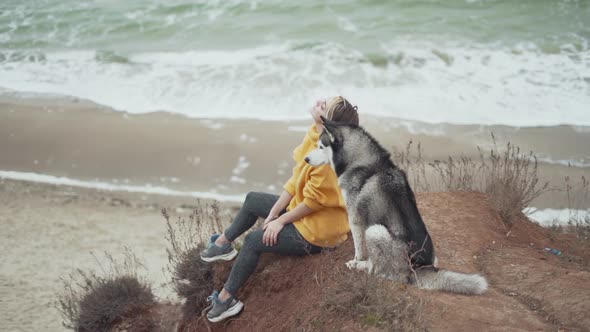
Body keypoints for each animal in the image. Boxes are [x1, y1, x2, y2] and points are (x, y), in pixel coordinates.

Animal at [306, 117, 490, 296]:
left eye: (321, 146)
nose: (306, 159)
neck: (365, 163)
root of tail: (417, 268)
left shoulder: (355, 219)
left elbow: (359, 247)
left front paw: (357, 260)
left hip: (375, 230)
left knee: (378, 271)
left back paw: (362, 266)